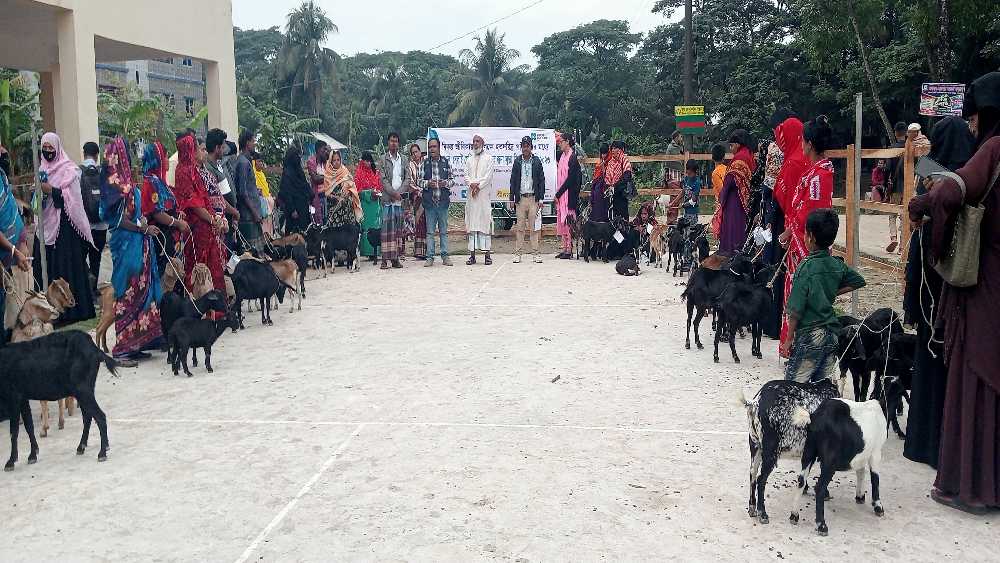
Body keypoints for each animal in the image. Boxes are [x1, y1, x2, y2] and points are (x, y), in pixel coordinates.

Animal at [0, 330, 118, 472]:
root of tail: (94, 348)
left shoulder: (14, 397)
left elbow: (14, 430)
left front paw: (10, 461)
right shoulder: (23, 398)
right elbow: (29, 426)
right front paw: (33, 455)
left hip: (82, 390)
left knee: (100, 416)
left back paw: (102, 452)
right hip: (84, 391)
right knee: (88, 417)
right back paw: (82, 446)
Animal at [736, 376, 844, 528]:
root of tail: (755, 403)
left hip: (755, 444)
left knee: (752, 473)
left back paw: (752, 508)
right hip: (770, 450)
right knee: (761, 479)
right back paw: (762, 513)